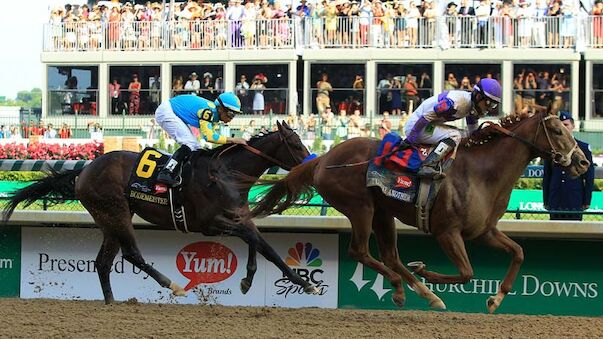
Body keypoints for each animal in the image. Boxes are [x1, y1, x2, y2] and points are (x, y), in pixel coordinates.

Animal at [3, 122, 320, 306]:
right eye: (294, 143)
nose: (311, 164)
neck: (227, 174)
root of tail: (84, 171)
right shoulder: (211, 224)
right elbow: (258, 243)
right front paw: (290, 282)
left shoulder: (238, 218)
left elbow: (263, 245)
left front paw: (300, 283)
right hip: (116, 212)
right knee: (131, 254)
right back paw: (174, 286)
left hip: (109, 219)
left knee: (103, 262)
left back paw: (111, 302)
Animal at [251, 111, 588, 314]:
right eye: (557, 130)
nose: (583, 163)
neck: (483, 173)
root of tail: (322, 158)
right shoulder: (447, 232)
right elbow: (467, 272)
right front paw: (427, 271)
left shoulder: (484, 231)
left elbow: (518, 253)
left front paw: (496, 298)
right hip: (360, 207)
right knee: (359, 251)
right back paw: (408, 288)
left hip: (383, 212)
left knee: (390, 256)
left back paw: (420, 292)